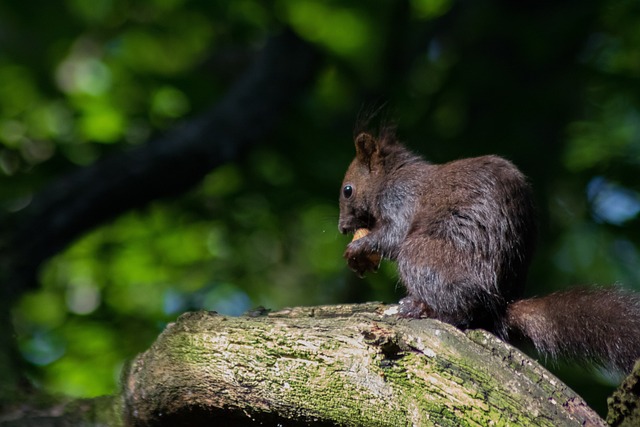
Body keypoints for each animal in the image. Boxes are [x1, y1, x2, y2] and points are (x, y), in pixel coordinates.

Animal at [340, 122, 640, 372]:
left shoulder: (401, 198)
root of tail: (500, 304)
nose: (342, 228)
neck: (391, 175)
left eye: (347, 190)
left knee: (461, 310)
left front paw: (359, 247)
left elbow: (393, 234)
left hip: (421, 255)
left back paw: (420, 308)